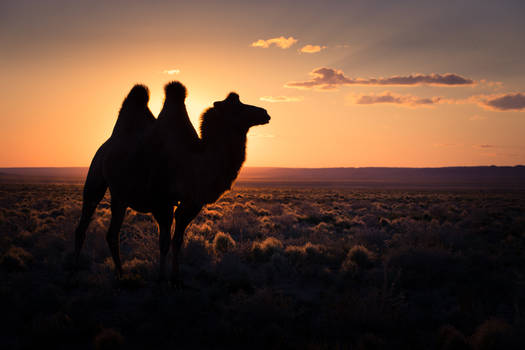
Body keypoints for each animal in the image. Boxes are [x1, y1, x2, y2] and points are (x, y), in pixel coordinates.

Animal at [73, 81, 270, 284]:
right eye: (237, 108)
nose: (264, 113)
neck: (193, 162)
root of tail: (106, 144)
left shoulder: (192, 202)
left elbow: (177, 241)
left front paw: (176, 278)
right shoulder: (161, 201)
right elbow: (164, 242)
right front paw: (161, 278)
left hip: (120, 196)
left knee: (112, 234)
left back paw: (121, 274)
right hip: (95, 176)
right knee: (83, 224)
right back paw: (73, 270)